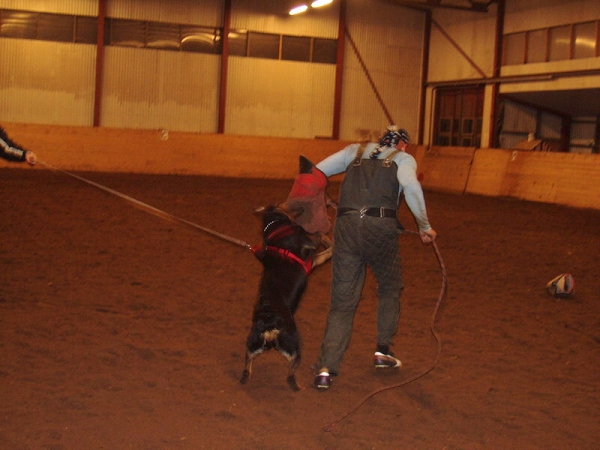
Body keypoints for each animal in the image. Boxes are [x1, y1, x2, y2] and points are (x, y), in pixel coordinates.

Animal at [241, 205, 330, 390]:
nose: (300, 208)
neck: (276, 227)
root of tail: (270, 327)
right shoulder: (312, 255)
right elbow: (325, 245)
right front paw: (324, 234)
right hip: (294, 346)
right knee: (290, 375)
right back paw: (298, 386)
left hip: (251, 344)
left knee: (247, 367)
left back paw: (245, 377)